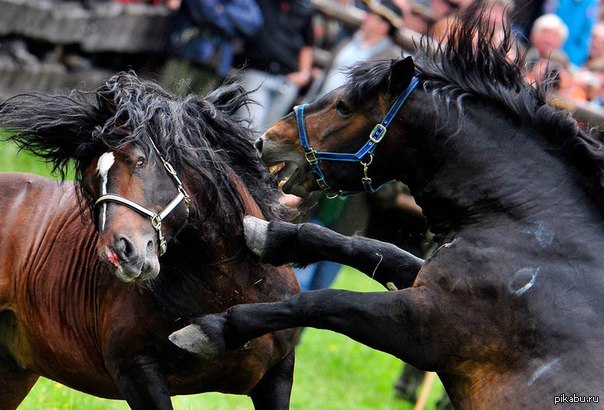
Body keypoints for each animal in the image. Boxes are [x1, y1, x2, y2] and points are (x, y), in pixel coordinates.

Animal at [0, 72, 300, 408]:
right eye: (90, 183)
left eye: (140, 161)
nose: (120, 253)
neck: (230, 285)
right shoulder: (138, 375)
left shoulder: (277, 373)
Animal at [169, 9, 604, 410]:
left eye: (344, 106)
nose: (265, 141)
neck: (531, 227)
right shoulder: (423, 278)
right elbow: (372, 249)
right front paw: (274, 237)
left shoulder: (420, 326)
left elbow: (323, 302)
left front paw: (217, 328)